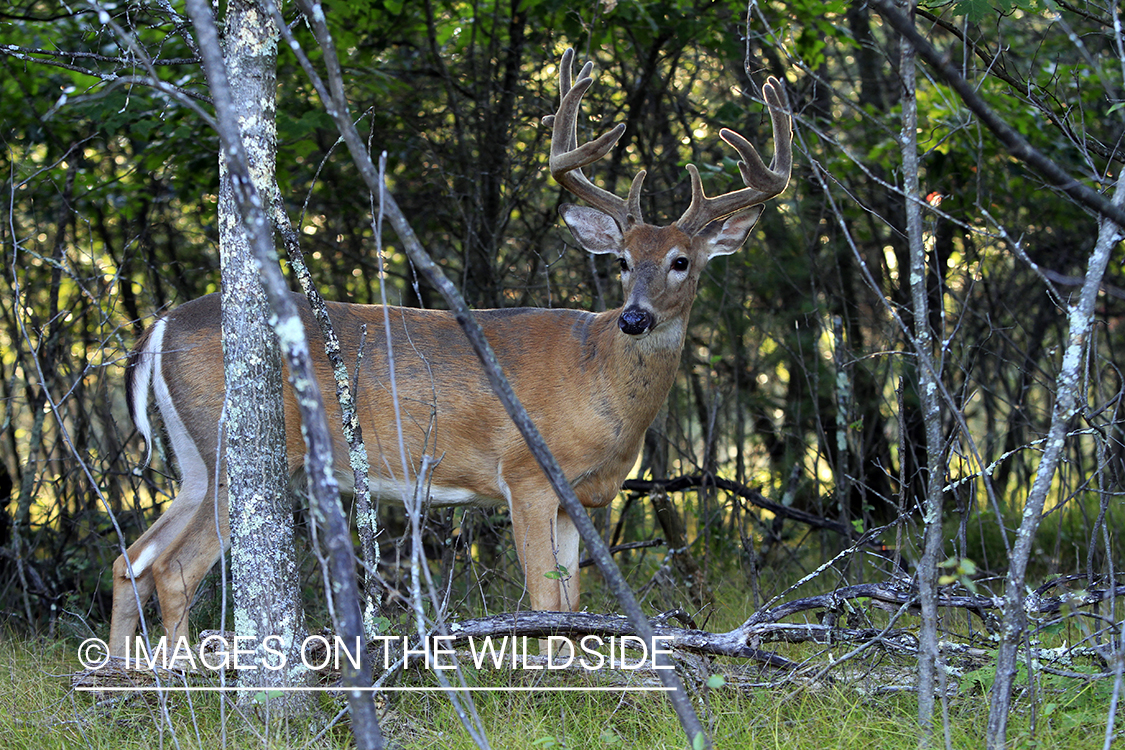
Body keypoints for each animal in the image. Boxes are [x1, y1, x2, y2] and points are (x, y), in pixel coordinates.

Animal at [105, 48, 792, 656]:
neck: (597, 379)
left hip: (194, 459)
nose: (635, 317)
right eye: (622, 261)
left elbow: (571, 604)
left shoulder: (580, 498)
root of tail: (161, 323)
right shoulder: (527, 474)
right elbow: (544, 602)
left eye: (681, 261)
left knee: (129, 558)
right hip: (236, 450)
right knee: (172, 568)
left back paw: (120, 672)